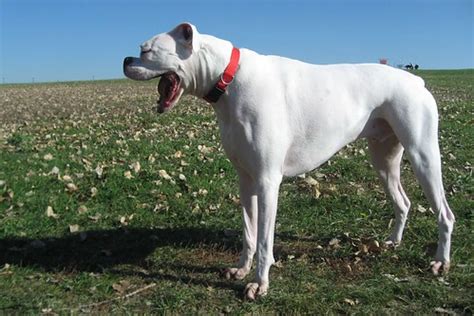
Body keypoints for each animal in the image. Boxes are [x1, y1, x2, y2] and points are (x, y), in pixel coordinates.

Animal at [124, 22, 454, 302]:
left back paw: (440, 262)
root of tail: (416, 80)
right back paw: (393, 242)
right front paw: (242, 269)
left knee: (445, 215)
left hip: (423, 157)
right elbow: (249, 233)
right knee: (403, 203)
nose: (126, 59)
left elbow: (264, 241)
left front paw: (259, 284)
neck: (229, 77)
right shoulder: (246, 180)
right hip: (384, 162)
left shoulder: (268, 182)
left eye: (147, 50)